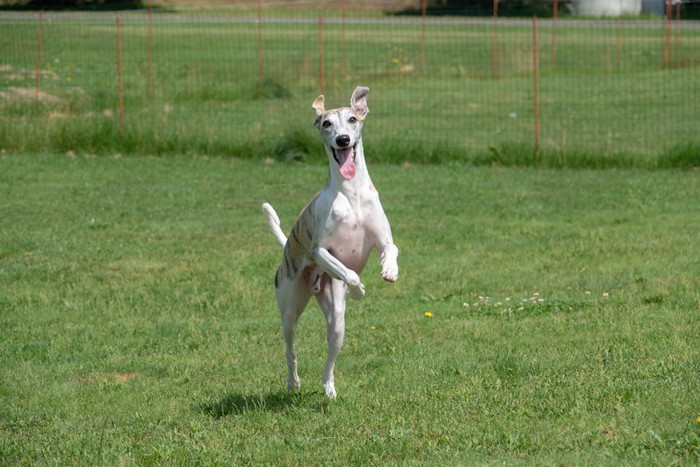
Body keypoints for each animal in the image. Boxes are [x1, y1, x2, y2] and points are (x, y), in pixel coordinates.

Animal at [262, 87, 400, 398]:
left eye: (352, 119)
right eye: (326, 124)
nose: (343, 140)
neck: (352, 193)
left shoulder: (382, 238)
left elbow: (391, 248)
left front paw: (389, 270)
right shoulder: (319, 251)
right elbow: (348, 272)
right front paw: (359, 290)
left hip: (336, 317)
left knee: (331, 351)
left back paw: (328, 387)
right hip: (289, 307)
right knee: (290, 348)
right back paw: (293, 382)